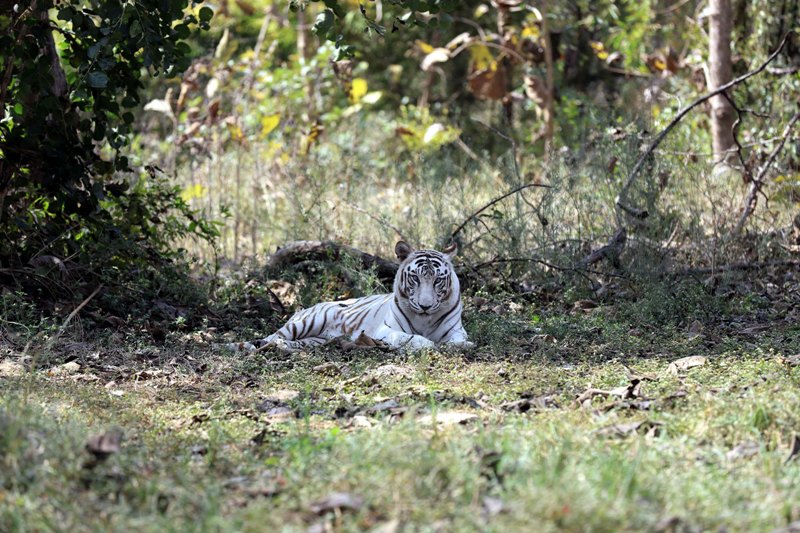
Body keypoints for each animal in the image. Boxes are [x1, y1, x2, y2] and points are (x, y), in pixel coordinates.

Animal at [226, 241, 474, 353]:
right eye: (415, 278)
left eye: (437, 280)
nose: (425, 305)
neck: (425, 318)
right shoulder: (386, 330)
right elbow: (412, 338)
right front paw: (428, 344)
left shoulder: (456, 330)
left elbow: (460, 341)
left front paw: (461, 345)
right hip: (306, 322)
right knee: (271, 337)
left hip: (314, 340)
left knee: (285, 342)